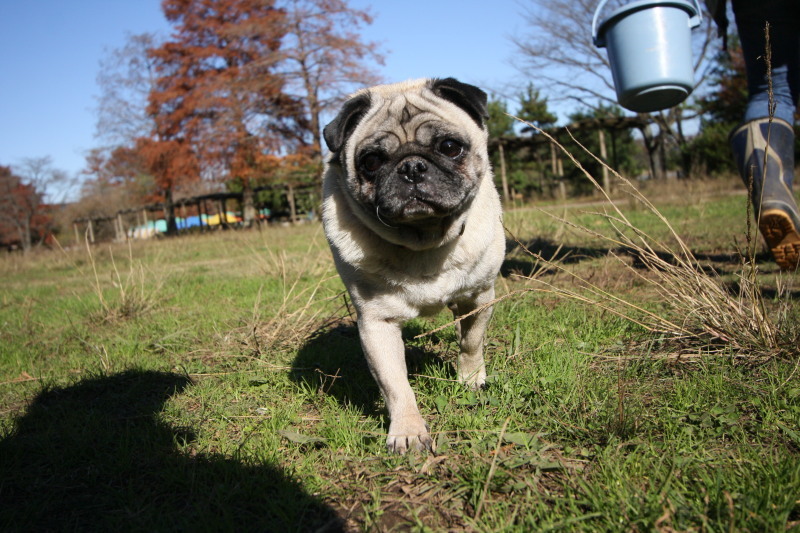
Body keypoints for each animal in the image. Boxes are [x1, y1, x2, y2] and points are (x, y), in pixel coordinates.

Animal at [322, 78, 504, 454]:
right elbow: (396, 384)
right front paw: (407, 430)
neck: (424, 241)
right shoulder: (377, 323)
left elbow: (471, 341)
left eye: (449, 147)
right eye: (372, 161)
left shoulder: (479, 297)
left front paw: (470, 378)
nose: (411, 167)